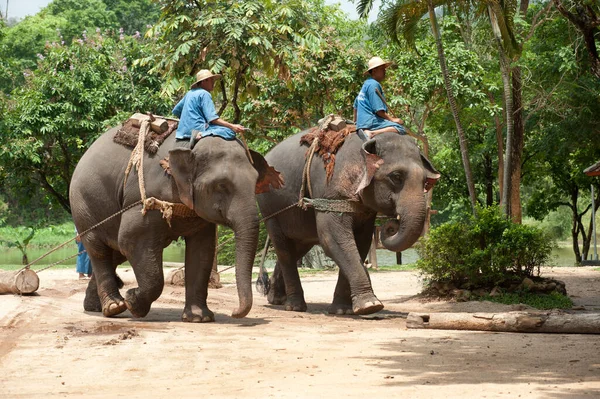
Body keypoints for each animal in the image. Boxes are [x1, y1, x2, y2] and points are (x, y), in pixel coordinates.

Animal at [69, 126, 282, 324]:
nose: (234, 313)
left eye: (256, 182)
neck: (191, 146)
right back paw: (114, 306)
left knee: (114, 253)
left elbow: (202, 249)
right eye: (221, 185)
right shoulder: (144, 199)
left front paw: (199, 318)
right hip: (83, 206)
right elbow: (131, 239)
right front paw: (133, 301)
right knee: (99, 250)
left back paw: (99, 307)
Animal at [255, 130, 438, 316]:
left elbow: (361, 243)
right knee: (284, 249)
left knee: (296, 249)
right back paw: (294, 307)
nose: (391, 225)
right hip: (269, 208)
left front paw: (343, 310)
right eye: (396, 176)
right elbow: (332, 239)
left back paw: (276, 300)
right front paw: (371, 305)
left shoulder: (363, 209)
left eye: (426, 181)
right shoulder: (330, 193)